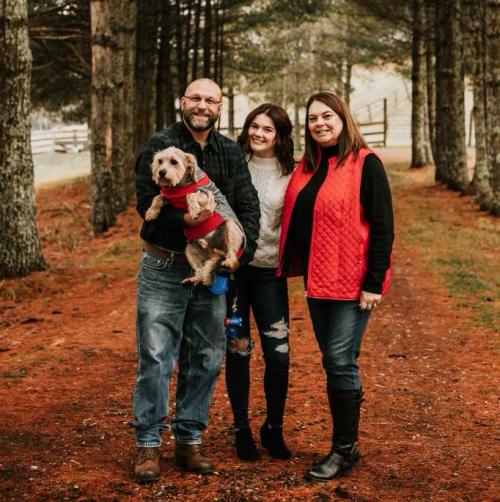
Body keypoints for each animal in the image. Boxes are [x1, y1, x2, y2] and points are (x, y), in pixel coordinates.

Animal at [144, 145, 245, 286]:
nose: (161, 172)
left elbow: (190, 194)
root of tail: (212, 251)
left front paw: (193, 209)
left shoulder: (208, 196)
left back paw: (229, 261)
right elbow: (158, 197)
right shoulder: (170, 198)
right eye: (160, 161)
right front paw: (151, 212)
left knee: (232, 254)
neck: (179, 186)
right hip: (189, 249)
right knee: (200, 272)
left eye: (174, 162)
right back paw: (193, 279)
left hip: (230, 227)